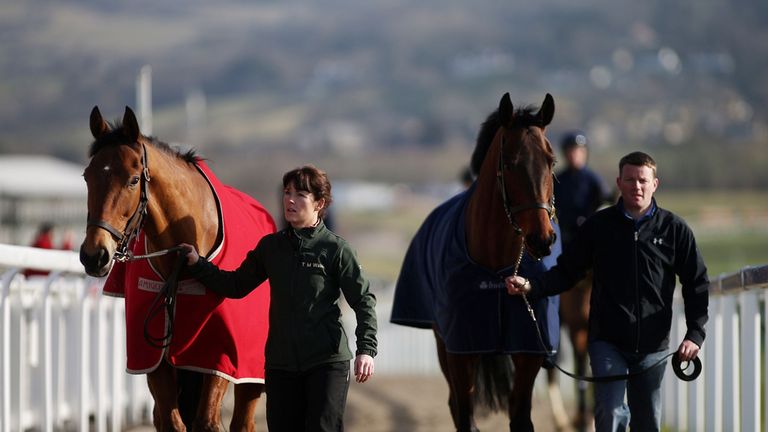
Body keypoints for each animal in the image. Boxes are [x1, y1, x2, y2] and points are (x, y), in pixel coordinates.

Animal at [79, 106, 275, 431]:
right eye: (87, 176)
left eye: (134, 179)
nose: (94, 255)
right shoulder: (153, 357)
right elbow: (172, 421)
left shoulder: (216, 357)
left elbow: (207, 421)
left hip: (250, 373)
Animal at [391, 93, 561, 431]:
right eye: (510, 163)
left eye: (551, 161)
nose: (542, 240)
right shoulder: (461, 348)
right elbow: (465, 414)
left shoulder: (529, 349)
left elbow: (520, 415)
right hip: (443, 345)